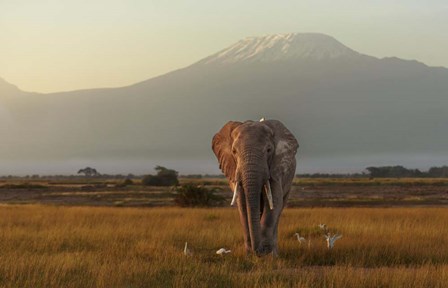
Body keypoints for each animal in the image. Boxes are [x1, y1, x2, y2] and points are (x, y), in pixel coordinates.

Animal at [213, 119, 300, 256]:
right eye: (234, 152)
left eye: (269, 150)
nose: (258, 251)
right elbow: (242, 204)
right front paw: (250, 254)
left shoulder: (276, 168)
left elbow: (274, 201)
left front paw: (267, 253)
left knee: (279, 208)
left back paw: (274, 253)